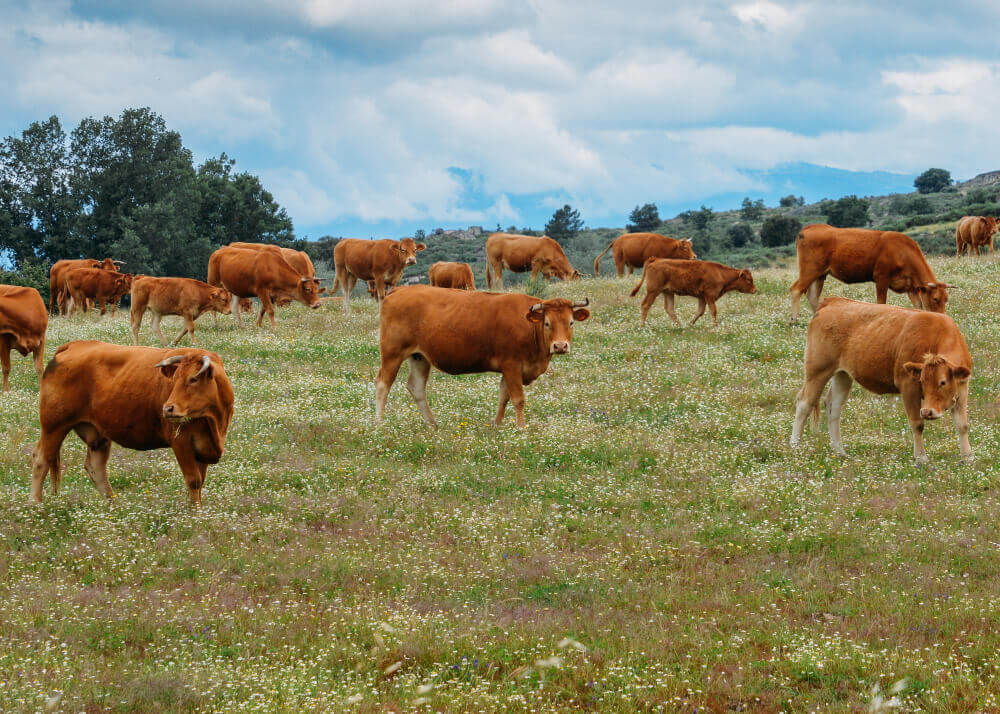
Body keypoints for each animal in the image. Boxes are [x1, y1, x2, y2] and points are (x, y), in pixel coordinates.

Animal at [30, 340, 234, 504]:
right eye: (174, 379)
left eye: (193, 379)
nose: (167, 409)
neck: (213, 421)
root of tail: (74, 345)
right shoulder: (180, 442)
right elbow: (194, 481)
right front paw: (194, 515)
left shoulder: (203, 447)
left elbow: (200, 482)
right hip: (54, 426)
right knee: (41, 460)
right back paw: (36, 504)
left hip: (97, 434)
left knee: (96, 467)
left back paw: (112, 504)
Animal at [378, 284, 588, 426]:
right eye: (547, 323)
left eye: (571, 322)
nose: (560, 346)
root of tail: (400, 290)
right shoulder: (512, 365)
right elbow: (518, 399)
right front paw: (522, 428)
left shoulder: (509, 369)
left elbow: (503, 397)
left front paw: (496, 426)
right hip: (392, 353)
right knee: (382, 385)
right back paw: (379, 424)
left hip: (419, 357)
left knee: (417, 388)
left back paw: (433, 425)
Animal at [788, 224, 952, 322]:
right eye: (935, 299)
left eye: (946, 299)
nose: (942, 316)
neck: (903, 252)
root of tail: (810, 227)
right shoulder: (881, 278)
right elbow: (881, 303)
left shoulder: (911, 287)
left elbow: (918, 306)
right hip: (810, 269)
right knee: (796, 289)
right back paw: (793, 321)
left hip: (820, 274)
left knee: (812, 296)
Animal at [788, 294, 968, 462]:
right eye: (922, 381)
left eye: (942, 382)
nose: (927, 411)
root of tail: (833, 301)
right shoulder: (908, 385)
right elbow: (917, 423)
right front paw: (921, 457)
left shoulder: (962, 388)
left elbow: (962, 424)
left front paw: (967, 457)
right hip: (817, 371)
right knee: (804, 403)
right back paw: (795, 445)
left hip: (842, 374)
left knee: (834, 405)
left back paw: (839, 450)